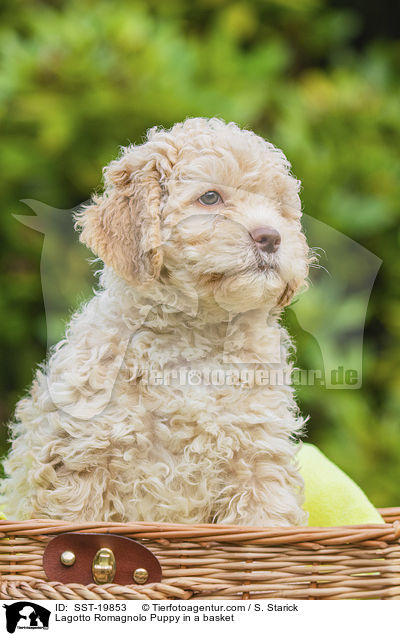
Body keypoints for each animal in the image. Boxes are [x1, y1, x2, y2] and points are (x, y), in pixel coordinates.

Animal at [0, 117, 312, 524]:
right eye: (210, 198)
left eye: (278, 207)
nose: (271, 237)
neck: (195, 335)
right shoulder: (82, 455)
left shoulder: (258, 456)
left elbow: (263, 521)